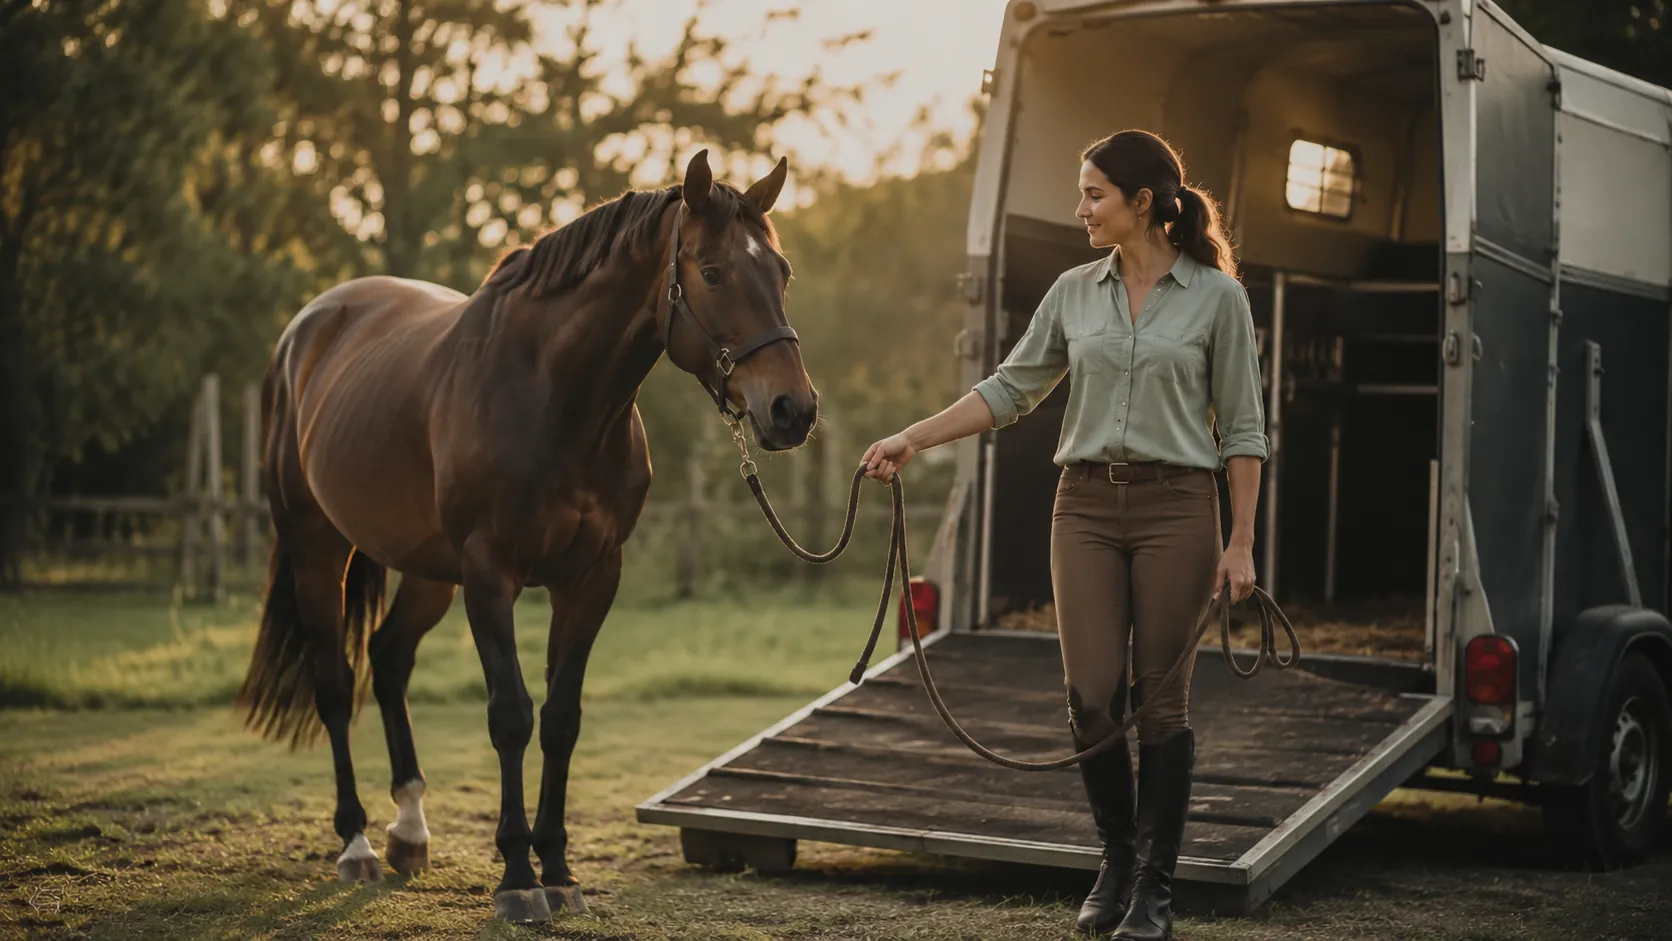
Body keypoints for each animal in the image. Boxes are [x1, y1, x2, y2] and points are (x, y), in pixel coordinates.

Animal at [234, 150, 816, 923]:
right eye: (714, 271)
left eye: (780, 272)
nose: (792, 410)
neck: (553, 399)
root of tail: (308, 327)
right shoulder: (490, 574)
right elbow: (510, 714)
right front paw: (516, 875)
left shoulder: (592, 578)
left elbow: (561, 717)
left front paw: (560, 869)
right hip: (318, 550)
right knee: (335, 682)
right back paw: (356, 844)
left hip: (427, 572)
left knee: (388, 661)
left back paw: (410, 829)